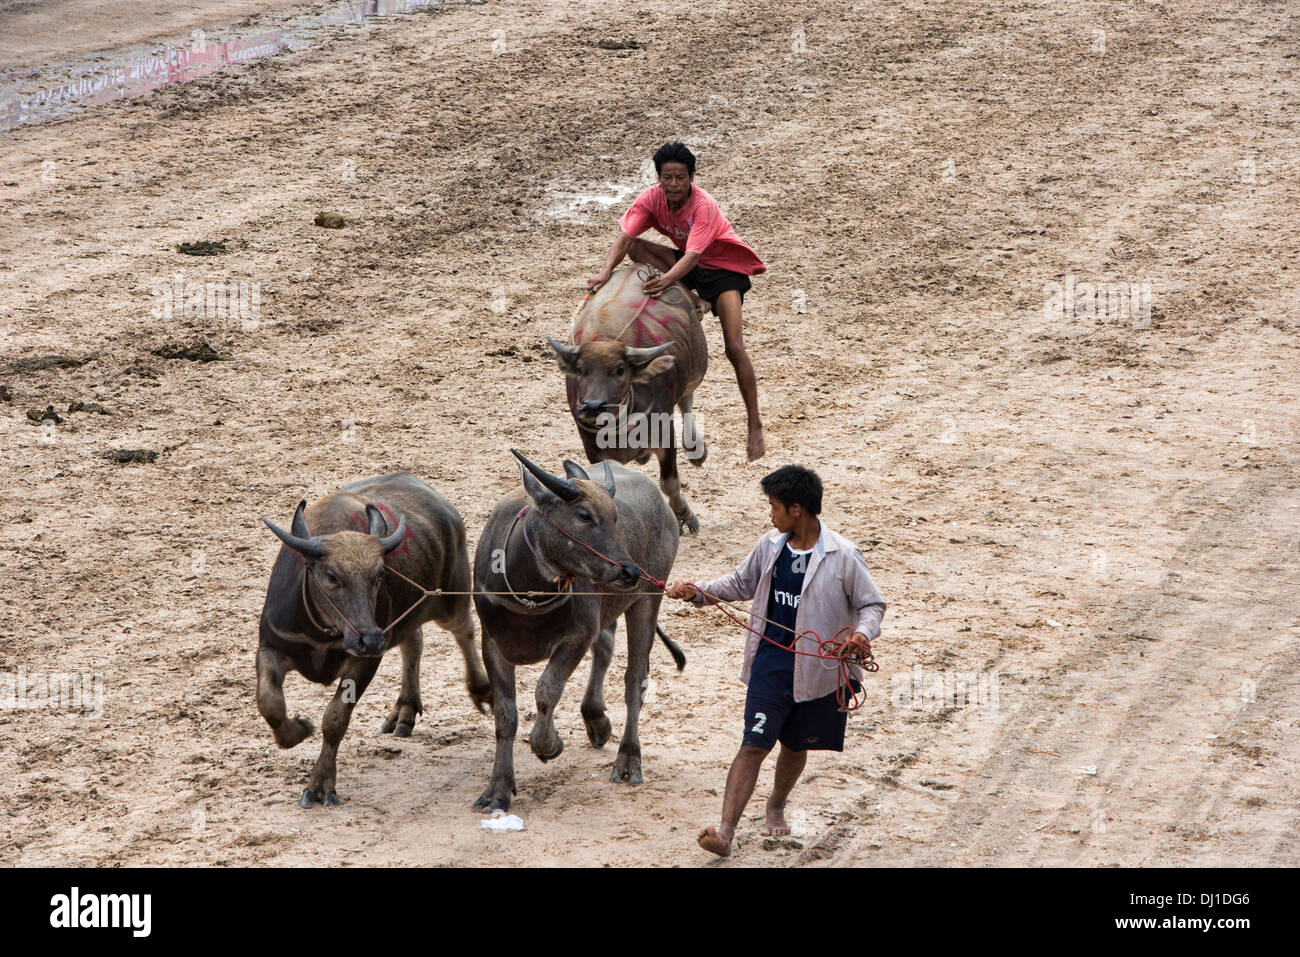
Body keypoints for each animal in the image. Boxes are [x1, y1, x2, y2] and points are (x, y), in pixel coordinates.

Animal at [256, 470, 488, 806]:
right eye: (331, 576)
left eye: (379, 574)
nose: (369, 639)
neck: (323, 631)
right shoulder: (271, 646)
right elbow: (269, 702)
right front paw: (296, 730)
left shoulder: (365, 661)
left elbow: (335, 719)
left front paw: (320, 784)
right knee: (414, 640)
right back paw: (404, 710)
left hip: (449, 595)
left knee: (464, 630)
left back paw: (481, 688)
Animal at [473, 452, 686, 811]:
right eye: (584, 515)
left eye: (615, 517)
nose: (629, 571)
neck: (528, 590)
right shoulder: (492, 643)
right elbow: (505, 715)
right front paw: (498, 789)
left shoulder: (576, 636)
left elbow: (547, 690)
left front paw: (548, 745)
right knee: (606, 646)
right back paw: (595, 719)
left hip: (647, 599)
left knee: (635, 678)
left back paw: (628, 760)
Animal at [548, 263, 712, 530]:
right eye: (580, 369)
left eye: (620, 370)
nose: (593, 406)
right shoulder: (591, 446)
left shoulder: (664, 432)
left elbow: (669, 483)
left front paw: (683, 515)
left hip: (694, 371)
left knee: (687, 401)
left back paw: (695, 448)